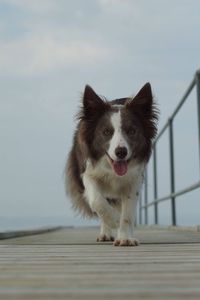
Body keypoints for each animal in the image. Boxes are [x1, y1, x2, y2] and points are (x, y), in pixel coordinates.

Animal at [65, 82, 158, 246]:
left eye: (132, 131)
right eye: (106, 132)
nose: (121, 152)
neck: (111, 170)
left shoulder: (134, 180)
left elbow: (127, 213)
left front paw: (125, 237)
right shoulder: (88, 174)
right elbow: (97, 201)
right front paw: (114, 221)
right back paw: (106, 233)